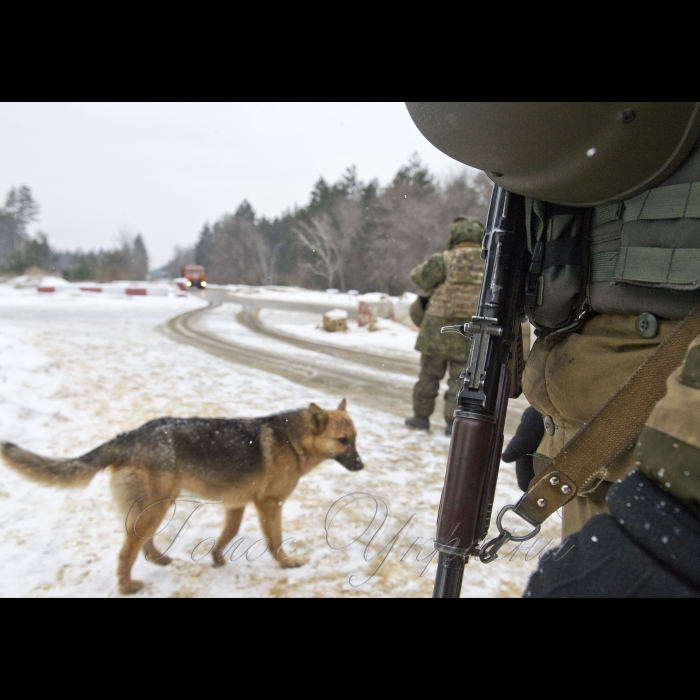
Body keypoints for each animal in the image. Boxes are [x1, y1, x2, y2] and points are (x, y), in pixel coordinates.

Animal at [0, 402, 360, 592]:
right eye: (342, 441)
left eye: (355, 439)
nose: (361, 465)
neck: (294, 439)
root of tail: (128, 437)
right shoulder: (269, 505)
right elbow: (275, 541)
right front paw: (286, 563)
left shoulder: (237, 505)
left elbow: (227, 535)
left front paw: (217, 558)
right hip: (159, 505)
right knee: (126, 551)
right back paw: (127, 587)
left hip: (154, 507)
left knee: (140, 543)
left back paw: (158, 559)